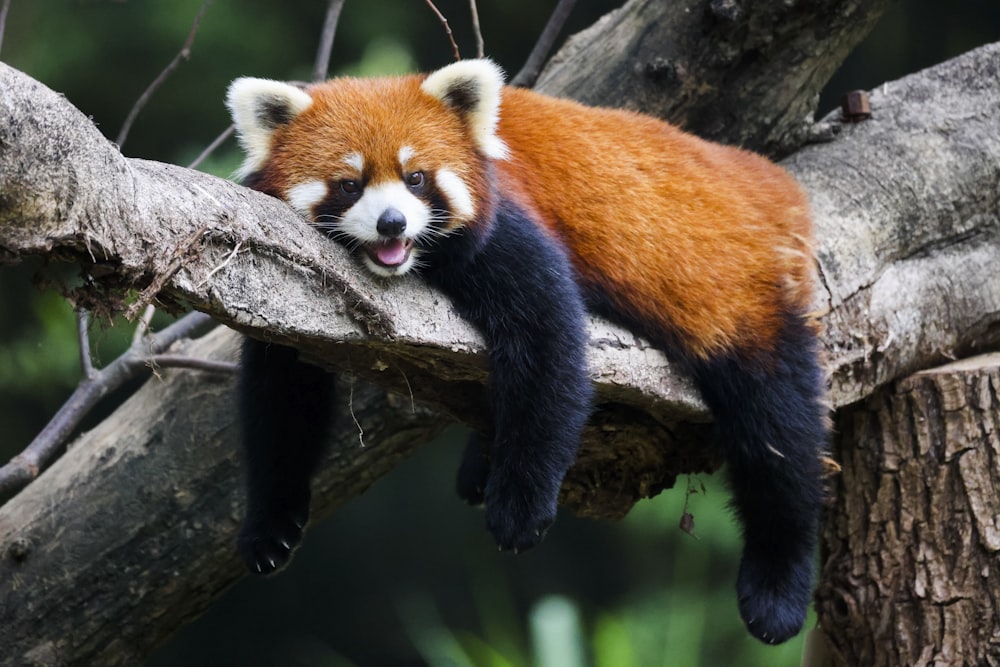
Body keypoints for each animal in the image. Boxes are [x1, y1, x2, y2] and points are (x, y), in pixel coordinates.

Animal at [227, 58, 828, 648]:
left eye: (416, 178)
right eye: (350, 185)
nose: (391, 222)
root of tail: (769, 182)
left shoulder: (509, 228)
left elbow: (548, 351)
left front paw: (520, 510)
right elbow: (280, 395)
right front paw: (270, 524)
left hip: (742, 302)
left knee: (779, 435)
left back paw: (777, 589)